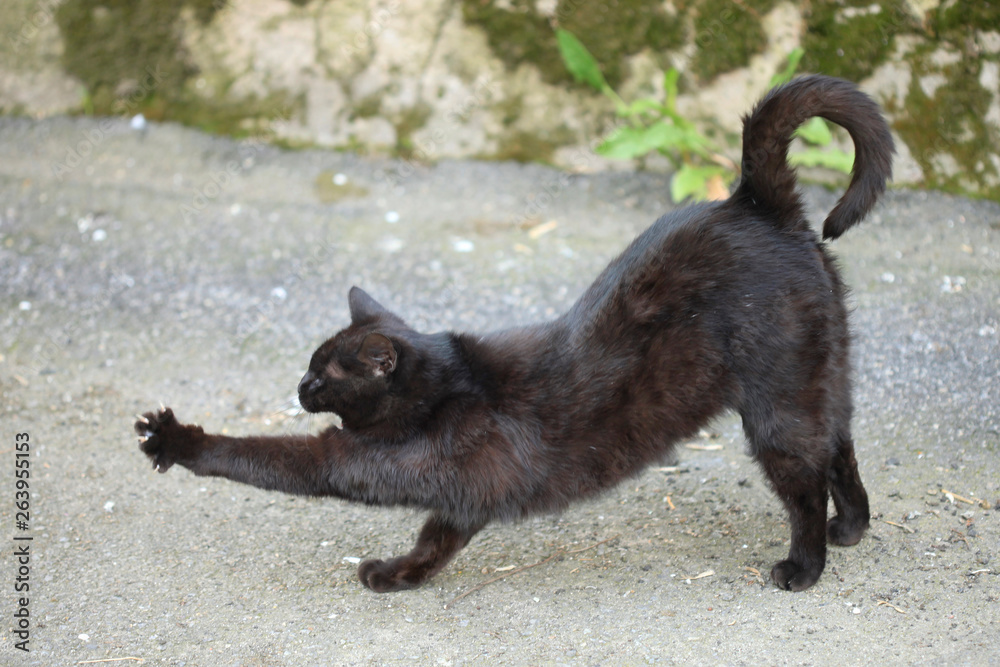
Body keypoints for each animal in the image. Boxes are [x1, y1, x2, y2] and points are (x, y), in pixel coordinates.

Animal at [137, 74, 896, 596]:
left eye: (323, 373)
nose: (297, 386)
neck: (445, 386)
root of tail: (754, 201)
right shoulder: (462, 496)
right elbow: (435, 542)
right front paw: (400, 576)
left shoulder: (359, 462)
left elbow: (268, 458)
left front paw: (174, 438)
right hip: (821, 374)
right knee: (841, 446)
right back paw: (852, 528)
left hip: (776, 404)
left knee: (804, 480)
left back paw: (804, 565)